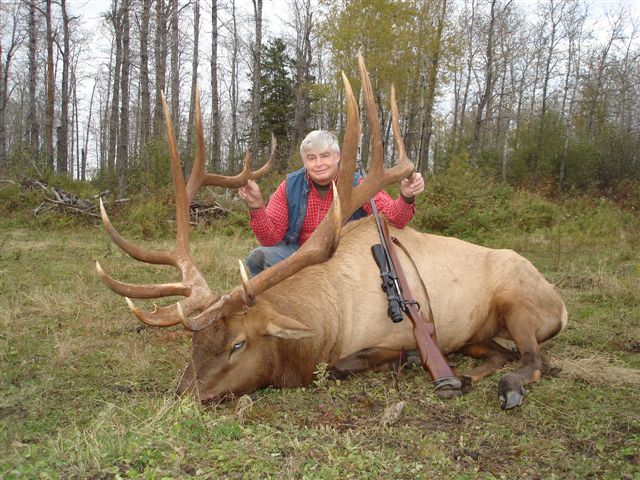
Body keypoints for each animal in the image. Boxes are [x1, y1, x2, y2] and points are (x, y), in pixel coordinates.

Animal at [96, 56, 568, 410]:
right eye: (194, 343)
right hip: (481, 334)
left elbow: (345, 364)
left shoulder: (392, 336)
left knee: (532, 359)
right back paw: (469, 373)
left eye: (238, 344)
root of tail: (561, 305)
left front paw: (405, 360)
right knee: (500, 352)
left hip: (520, 302)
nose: (181, 395)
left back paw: (505, 386)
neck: (328, 324)